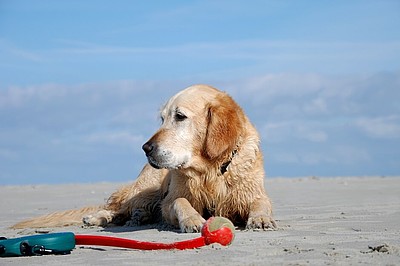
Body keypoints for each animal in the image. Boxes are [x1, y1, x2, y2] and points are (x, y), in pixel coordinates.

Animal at [11, 84, 276, 232]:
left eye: (180, 116)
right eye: (162, 118)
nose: (146, 147)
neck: (211, 171)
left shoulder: (251, 192)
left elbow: (261, 203)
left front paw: (261, 219)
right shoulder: (172, 199)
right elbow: (180, 202)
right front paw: (192, 219)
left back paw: (141, 216)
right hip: (147, 188)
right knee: (119, 208)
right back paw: (101, 217)